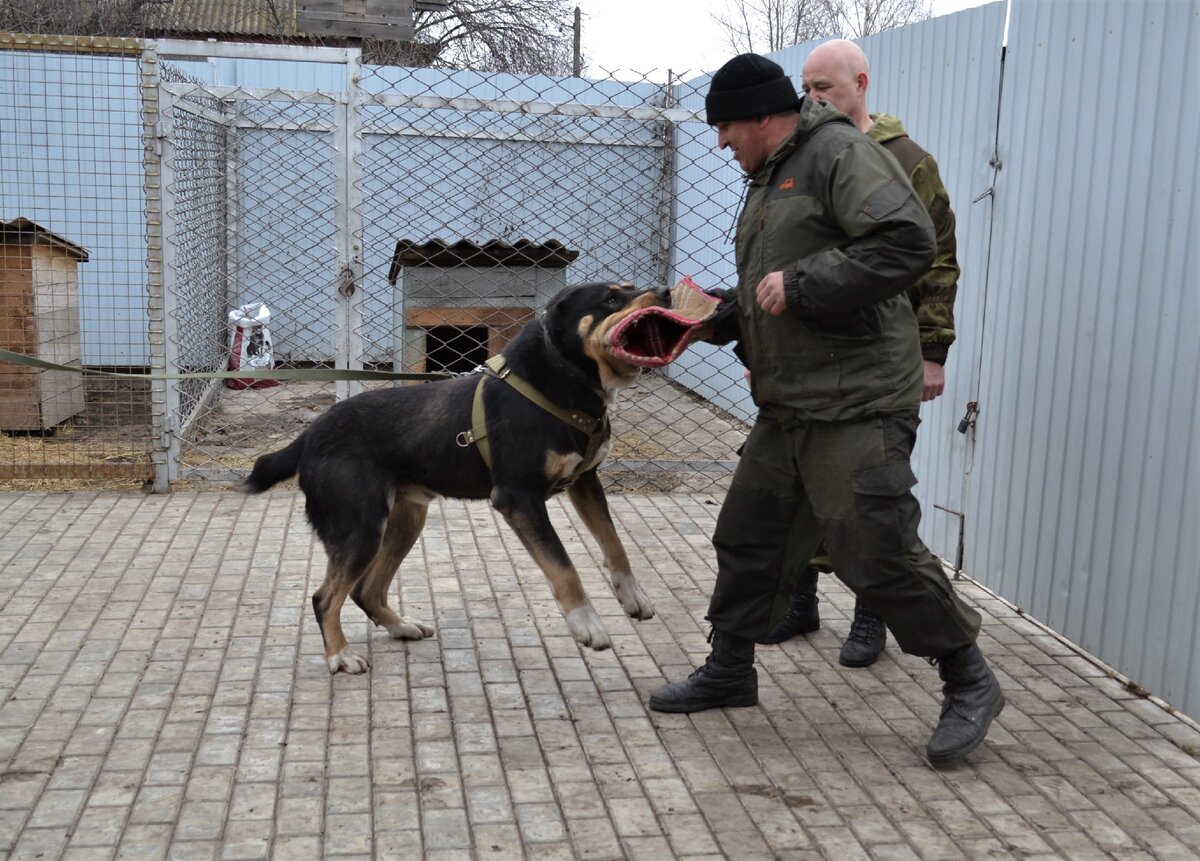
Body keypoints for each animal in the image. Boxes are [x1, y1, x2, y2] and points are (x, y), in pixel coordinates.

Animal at [241, 283, 686, 676]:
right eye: (611, 298)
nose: (667, 292)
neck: (560, 383)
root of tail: (310, 435)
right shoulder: (518, 499)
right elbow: (564, 566)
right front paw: (586, 623)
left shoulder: (586, 482)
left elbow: (615, 543)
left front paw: (632, 595)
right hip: (362, 527)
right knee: (325, 598)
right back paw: (341, 656)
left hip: (406, 521)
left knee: (364, 591)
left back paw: (401, 627)